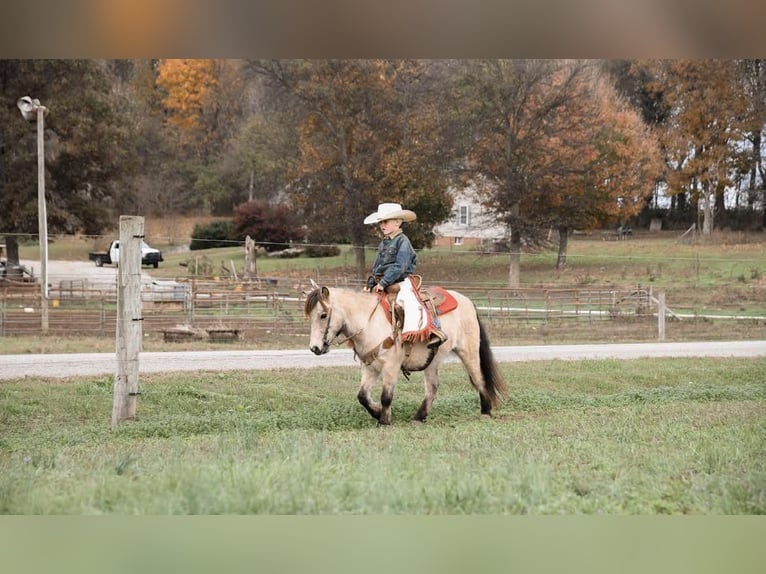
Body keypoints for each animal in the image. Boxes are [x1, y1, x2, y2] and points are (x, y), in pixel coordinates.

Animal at [306, 286, 510, 428]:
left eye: (323, 315)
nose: (315, 348)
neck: (369, 322)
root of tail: (467, 301)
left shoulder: (391, 366)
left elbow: (386, 396)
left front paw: (384, 421)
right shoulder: (370, 367)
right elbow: (362, 396)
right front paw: (377, 412)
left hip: (469, 352)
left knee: (478, 378)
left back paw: (485, 411)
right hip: (432, 361)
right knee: (432, 388)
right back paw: (419, 417)